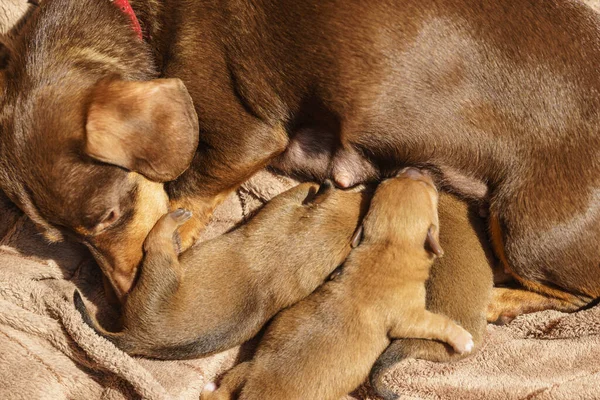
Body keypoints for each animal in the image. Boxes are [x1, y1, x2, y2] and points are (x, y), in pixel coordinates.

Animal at [1, 0, 600, 316]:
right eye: (58, 240)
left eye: (109, 215)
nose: (121, 309)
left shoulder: (245, 136)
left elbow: (179, 202)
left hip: (526, 231)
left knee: (578, 297)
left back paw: (496, 301)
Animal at [72, 181, 368, 360]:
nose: (364, 189)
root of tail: (135, 338)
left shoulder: (282, 207)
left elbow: (296, 192)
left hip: (164, 270)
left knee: (157, 244)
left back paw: (171, 222)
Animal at [202, 169, 474, 400]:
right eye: (428, 188)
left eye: (392, 180)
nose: (412, 169)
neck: (388, 246)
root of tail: (254, 392)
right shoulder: (410, 317)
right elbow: (437, 323)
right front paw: (462, 339)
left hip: (245, 370)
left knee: (223, 389)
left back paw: (210, 388)